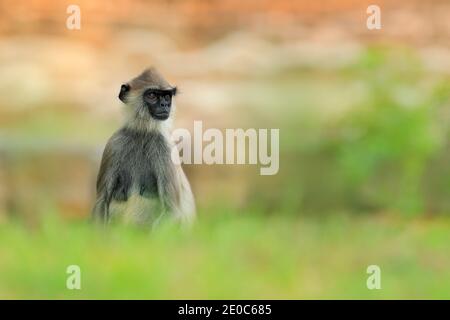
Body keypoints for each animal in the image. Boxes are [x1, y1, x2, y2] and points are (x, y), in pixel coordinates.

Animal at [92, 67, 195, 228]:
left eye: (167, 97)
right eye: (152, 95)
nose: (165, 105)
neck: (143, 133)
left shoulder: (165, 148)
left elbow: (172, 211)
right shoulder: (114, 144)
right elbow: (101, 202)